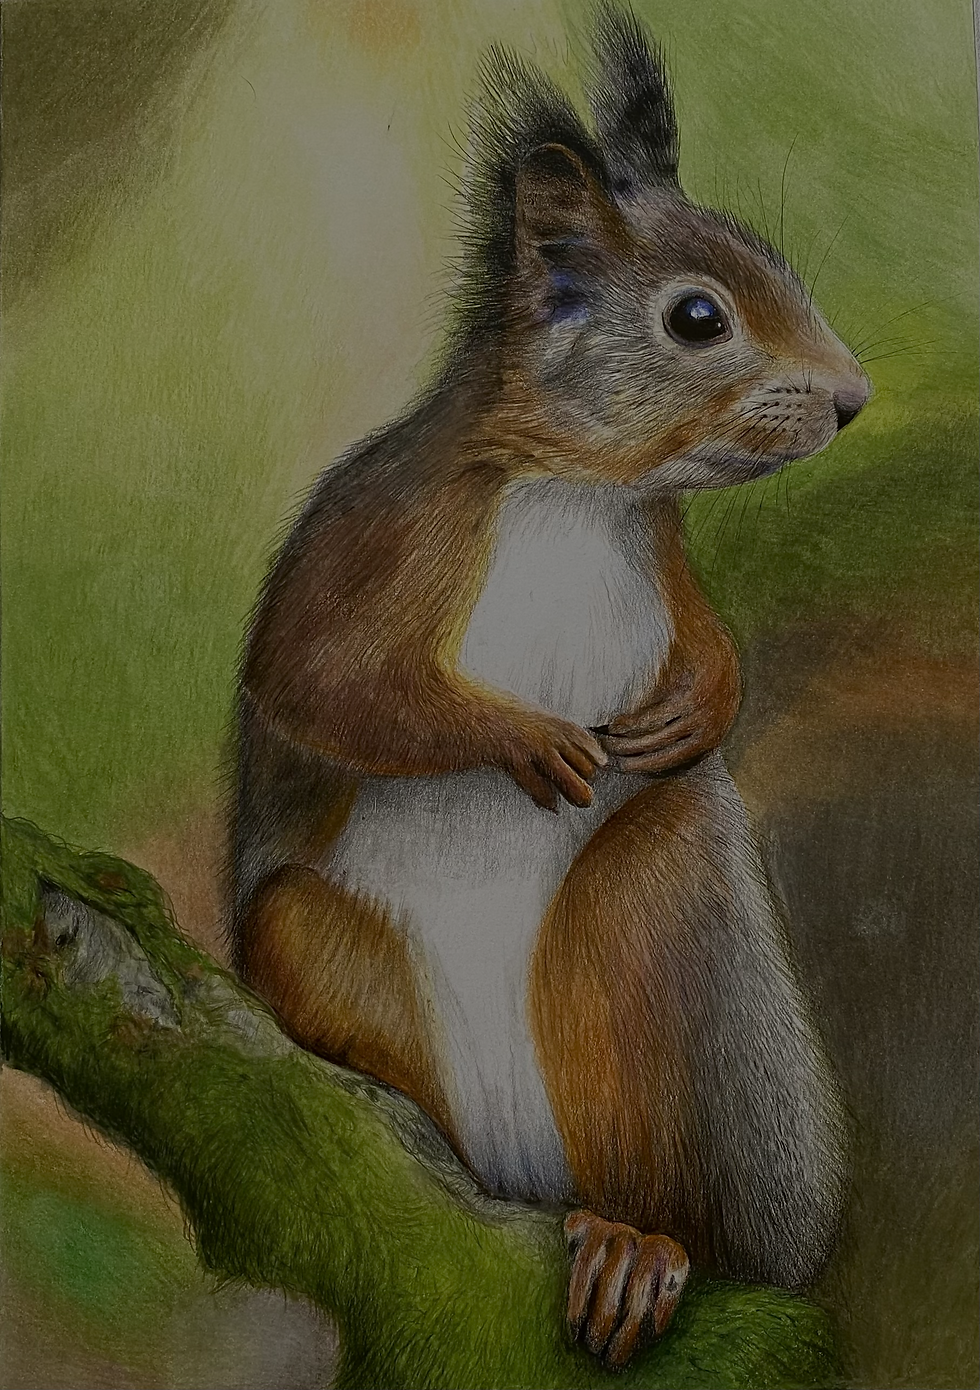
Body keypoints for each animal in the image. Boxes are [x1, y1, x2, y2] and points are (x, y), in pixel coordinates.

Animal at [230, 6, 868, 1369]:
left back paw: (639, 1243)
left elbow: (707, 640)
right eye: (696, 317)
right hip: (315, 944)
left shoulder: (662, 549)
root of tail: (531, 1181)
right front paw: (520, 739)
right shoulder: (376, 528)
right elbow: (317, 678)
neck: (579, 489)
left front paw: (700, 705)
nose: (850, 400)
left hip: (662, 945)